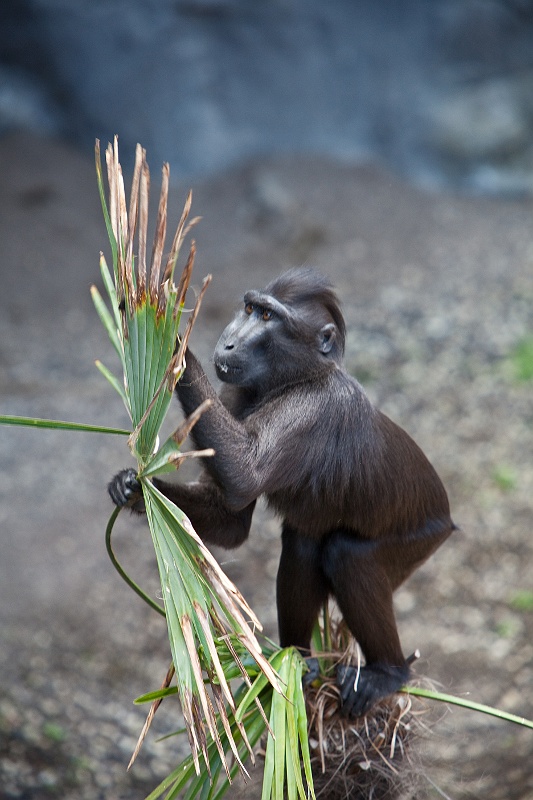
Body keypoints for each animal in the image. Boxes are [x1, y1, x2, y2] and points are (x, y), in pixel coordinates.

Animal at [109, 268, 455, 716]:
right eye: (250, 308)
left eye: (269, 317)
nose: (229, 341)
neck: (296, 379)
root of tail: (446, 518)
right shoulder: (234, 393)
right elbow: (231, 522)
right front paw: (132, 489)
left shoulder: (316, 407)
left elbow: (244, 473)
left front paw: (170, 340)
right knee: (303, 542)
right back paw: (299, 662)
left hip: (418, 541)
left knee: (347, 555)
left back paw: (388, 673)